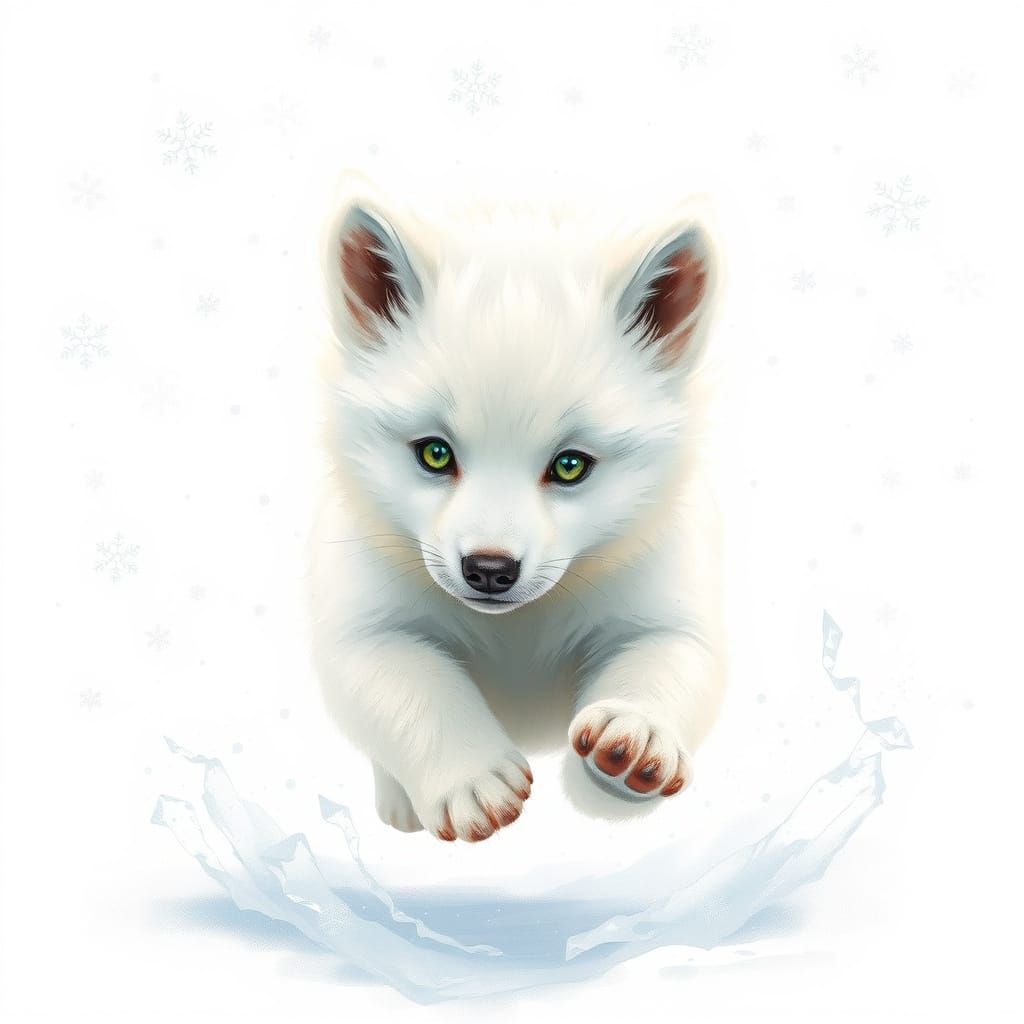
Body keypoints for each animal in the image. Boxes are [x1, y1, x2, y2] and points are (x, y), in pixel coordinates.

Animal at [308, 173, 726, 843]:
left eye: (570, 465)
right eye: (435, 453)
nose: (488, 570)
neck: (517, 632)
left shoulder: (667, 602)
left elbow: (668, 659)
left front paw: (634, 735)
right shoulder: (365, 623)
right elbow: (413, 684)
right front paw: (472, 778)